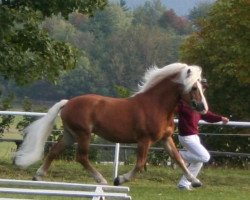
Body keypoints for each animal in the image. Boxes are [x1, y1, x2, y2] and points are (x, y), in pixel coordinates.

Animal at [14, 62, 209, 188]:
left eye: (202, 88)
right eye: (193, 88)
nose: (203, 108)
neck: (157, 105)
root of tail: (68, 103)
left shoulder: (165, 139)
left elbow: (179, 160)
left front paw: (196, 182)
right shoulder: (144, 140)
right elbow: (140, 164)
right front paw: (119, 180)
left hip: (70, 135)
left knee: (54, 151)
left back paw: (38, 176)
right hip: (83, 134)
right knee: (81, 157)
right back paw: (102, 180)